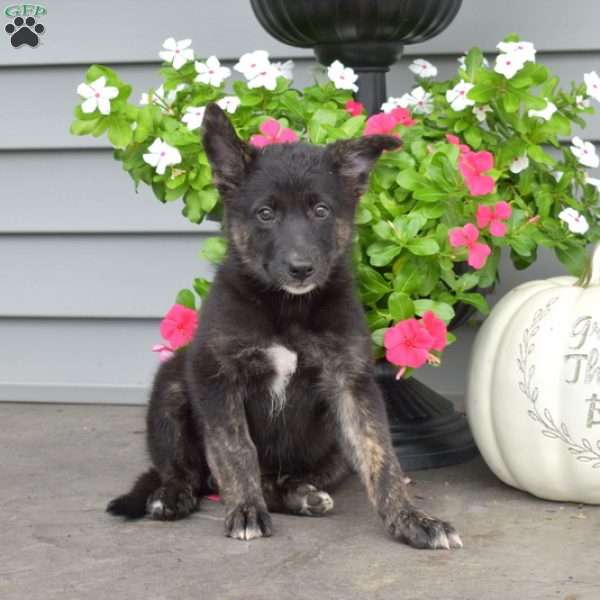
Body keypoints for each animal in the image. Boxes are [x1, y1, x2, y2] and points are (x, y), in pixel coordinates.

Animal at [108, 102, 462, 548]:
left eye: (321, 210)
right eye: (265, 213)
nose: (301, 268)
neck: (287, 308)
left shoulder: (352, 384)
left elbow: (381, 457)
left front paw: (412, 519)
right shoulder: (217, 377)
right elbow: (236, 449)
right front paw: (245, 510)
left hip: (331, 450)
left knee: (278, 480)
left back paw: (301, 495)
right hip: (172, 385)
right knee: (187, 471)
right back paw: (173, 494)